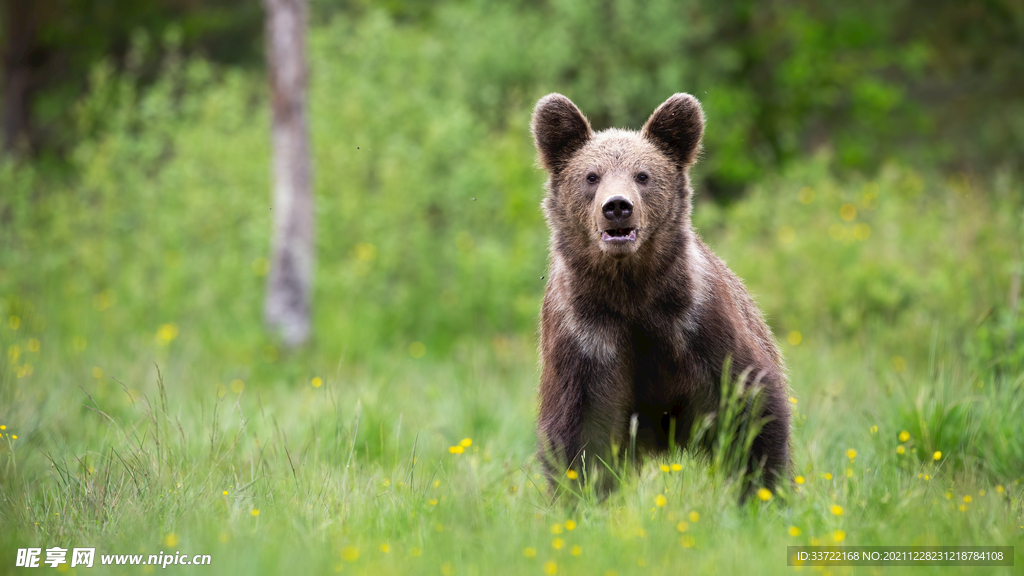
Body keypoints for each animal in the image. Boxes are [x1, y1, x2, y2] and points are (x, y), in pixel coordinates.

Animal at [531, 92, 791, 498]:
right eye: (591, 176)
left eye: (643, 175)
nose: (617, 206)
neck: (632, 294)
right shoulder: (587, 339)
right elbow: (576, 436)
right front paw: (581, 497)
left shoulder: (695, 324)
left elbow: (753, 405)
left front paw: (762, 491)